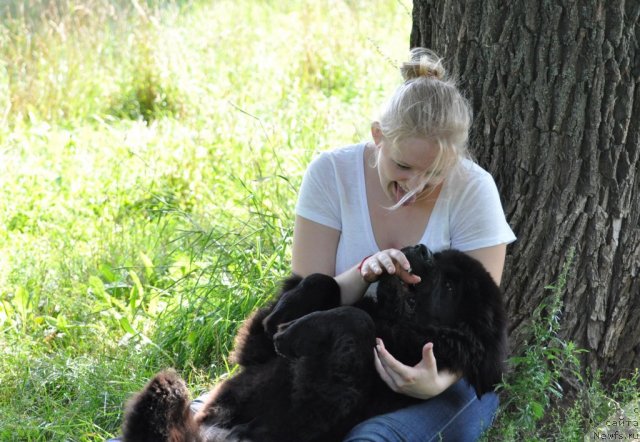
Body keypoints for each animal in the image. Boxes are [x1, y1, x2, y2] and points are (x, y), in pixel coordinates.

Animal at [122, 245, 508, 442]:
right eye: (440, 257)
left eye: (450, 286)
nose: (422, 247)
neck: (395, 322)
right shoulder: (255, 353)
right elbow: (324, 282)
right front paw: (282, 317)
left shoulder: (324, 400)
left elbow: (358, 321)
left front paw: (292, 333)